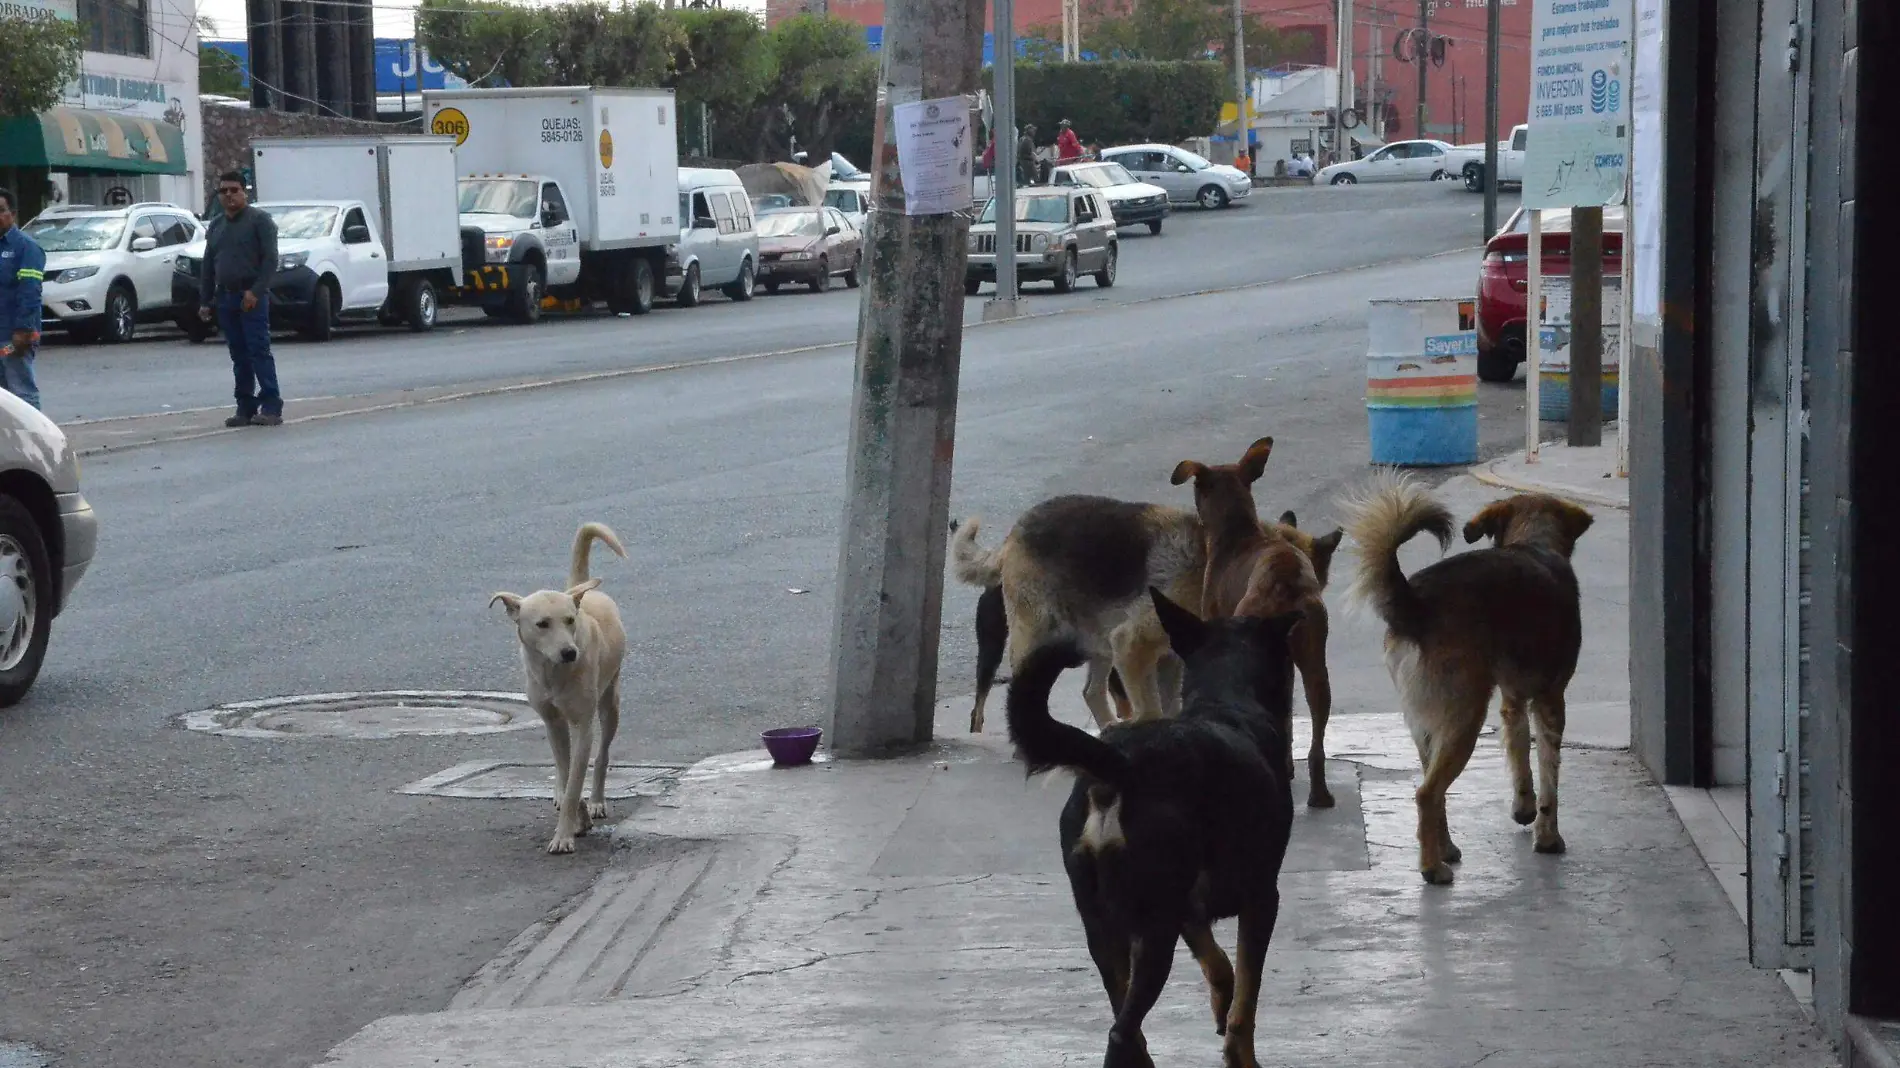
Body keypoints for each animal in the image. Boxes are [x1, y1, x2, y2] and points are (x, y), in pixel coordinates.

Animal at [490, 520, 630, 851]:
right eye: (542, 624)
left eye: (570, 620)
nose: (570, 652)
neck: (553, 672)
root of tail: (581, 591)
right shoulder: (552, 721)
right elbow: (566, 775)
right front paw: (576, 817)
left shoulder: (582, 725)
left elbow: (576, 778)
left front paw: (566, 833)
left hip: (610, 700)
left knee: (602, 754)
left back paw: (596, 801)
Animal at [1003, 585, 1299, 1056]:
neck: (1224, 697)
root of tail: (1120, 765)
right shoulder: (1260, 898)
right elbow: (1245, 1005)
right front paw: (1238, 1044)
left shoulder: (1188, 909)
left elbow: (1219, 965)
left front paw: (1222, 1000)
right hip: (1153, 932)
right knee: (1124, 1029)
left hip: (1105, 931)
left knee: (1127, 1024)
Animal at [1170, 433, 1337, 805]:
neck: (1238, 532)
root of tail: (1284, 581)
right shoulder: (1285, 662)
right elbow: (1287, 715)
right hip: (1315, 662)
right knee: (1315, 736)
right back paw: (1318, 793)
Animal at [1345, 471, 1596, 881]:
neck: (1534, 543)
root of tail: (1414, 605)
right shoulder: (1551, 699)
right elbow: (1549, 777)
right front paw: (1547, 837)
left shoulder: (1512, 700)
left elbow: (1520, 754)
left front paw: (1523, 807)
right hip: (1464, 716)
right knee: (1426, 793)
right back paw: (1432, 869)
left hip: (1428, 725)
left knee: (1434, 789)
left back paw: (1444, 849)